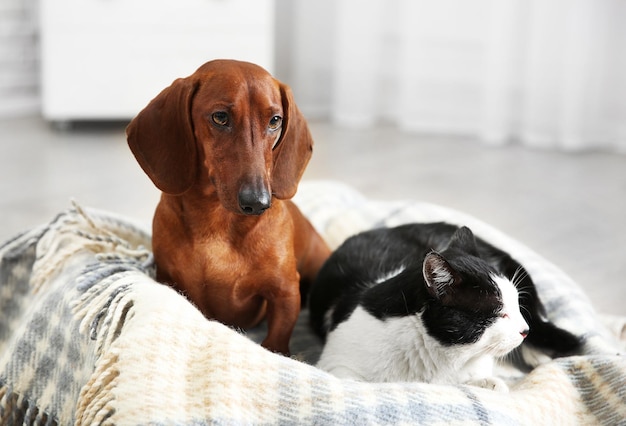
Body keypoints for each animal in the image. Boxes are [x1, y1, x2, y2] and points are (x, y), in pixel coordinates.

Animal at [128, 59, 332, 352]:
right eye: (220, 117)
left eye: (275, 120)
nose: (257, 202)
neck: (219, 223)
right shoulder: (168, 280)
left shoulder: (285, 291)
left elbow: (277, 339)